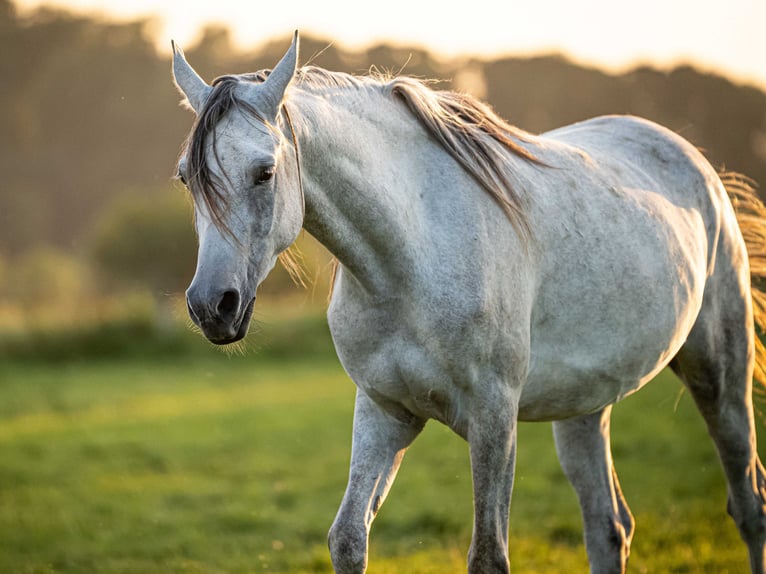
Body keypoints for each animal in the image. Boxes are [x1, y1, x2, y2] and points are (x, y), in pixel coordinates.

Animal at [171, 32, 766, 573]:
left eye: (265, 171)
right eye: (186, 178)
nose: (211, 306)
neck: (410, 259)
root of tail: (693, 161)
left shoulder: (493, 417)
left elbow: (487, 555)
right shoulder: (385, 410)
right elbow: (348, 539)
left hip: (719, 375)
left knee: (749, 502)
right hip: (584, 407)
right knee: (609, 527)